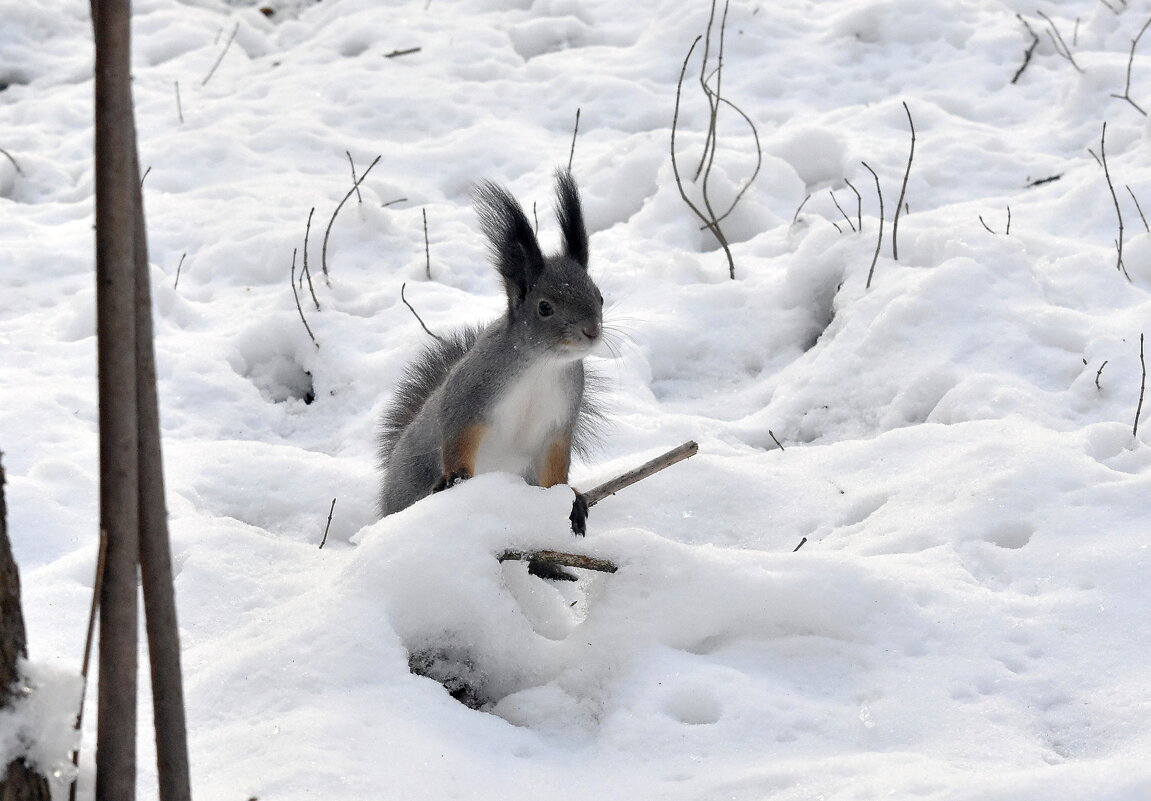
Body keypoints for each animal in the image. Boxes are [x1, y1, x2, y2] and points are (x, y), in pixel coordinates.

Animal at [382, 168, 607, 534]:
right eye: (544, 307)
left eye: (599, 297)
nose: (592, 331)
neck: (541, 365)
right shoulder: (473, 391)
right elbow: (457, 433)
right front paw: (456, 476)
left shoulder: (558, 423)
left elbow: (555, 466)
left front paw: (569, 499)